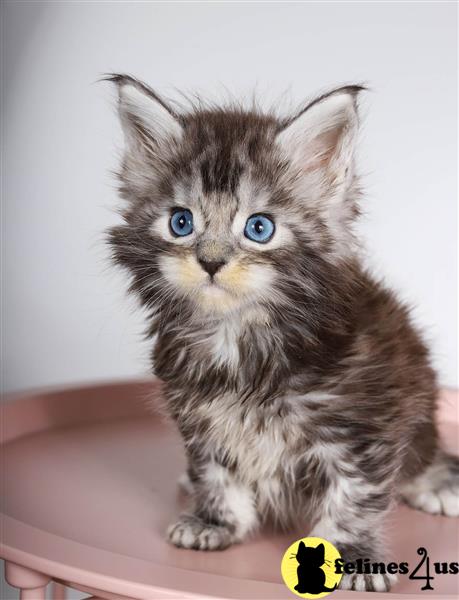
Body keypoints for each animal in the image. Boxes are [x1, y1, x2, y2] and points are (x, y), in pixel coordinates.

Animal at [106, 74, 458, 592]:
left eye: (259, 227)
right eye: (181, 222)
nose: (210, 262)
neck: (238, 338)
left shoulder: (364, 425)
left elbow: (354, 495)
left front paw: (352, 555)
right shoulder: (200, 416)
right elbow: (215, 472)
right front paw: (215, 521)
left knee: (422, 452)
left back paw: (438, 482)